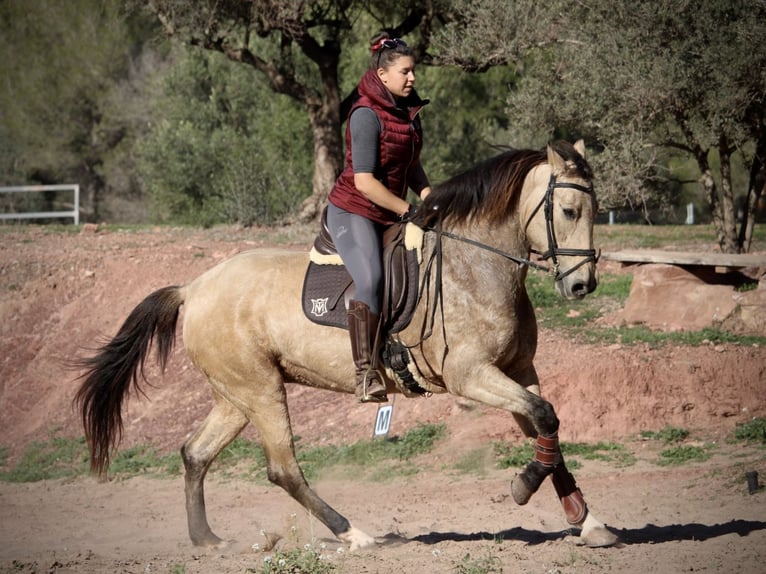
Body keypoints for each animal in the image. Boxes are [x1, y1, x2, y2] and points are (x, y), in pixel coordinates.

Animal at [75, 141, 620, 552]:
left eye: (595, 211)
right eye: (568, 210)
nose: (582, 286)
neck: (475, 266)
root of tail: (194, 287)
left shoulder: (518, 370)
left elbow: (547, 427)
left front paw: (587, 520)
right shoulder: (472, 375)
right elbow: (545, 418)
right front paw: (524, 487)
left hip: (234, 396)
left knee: (195, 453)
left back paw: (208, 540)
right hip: (260, 391)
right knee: (282, 469)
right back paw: (355, 534)